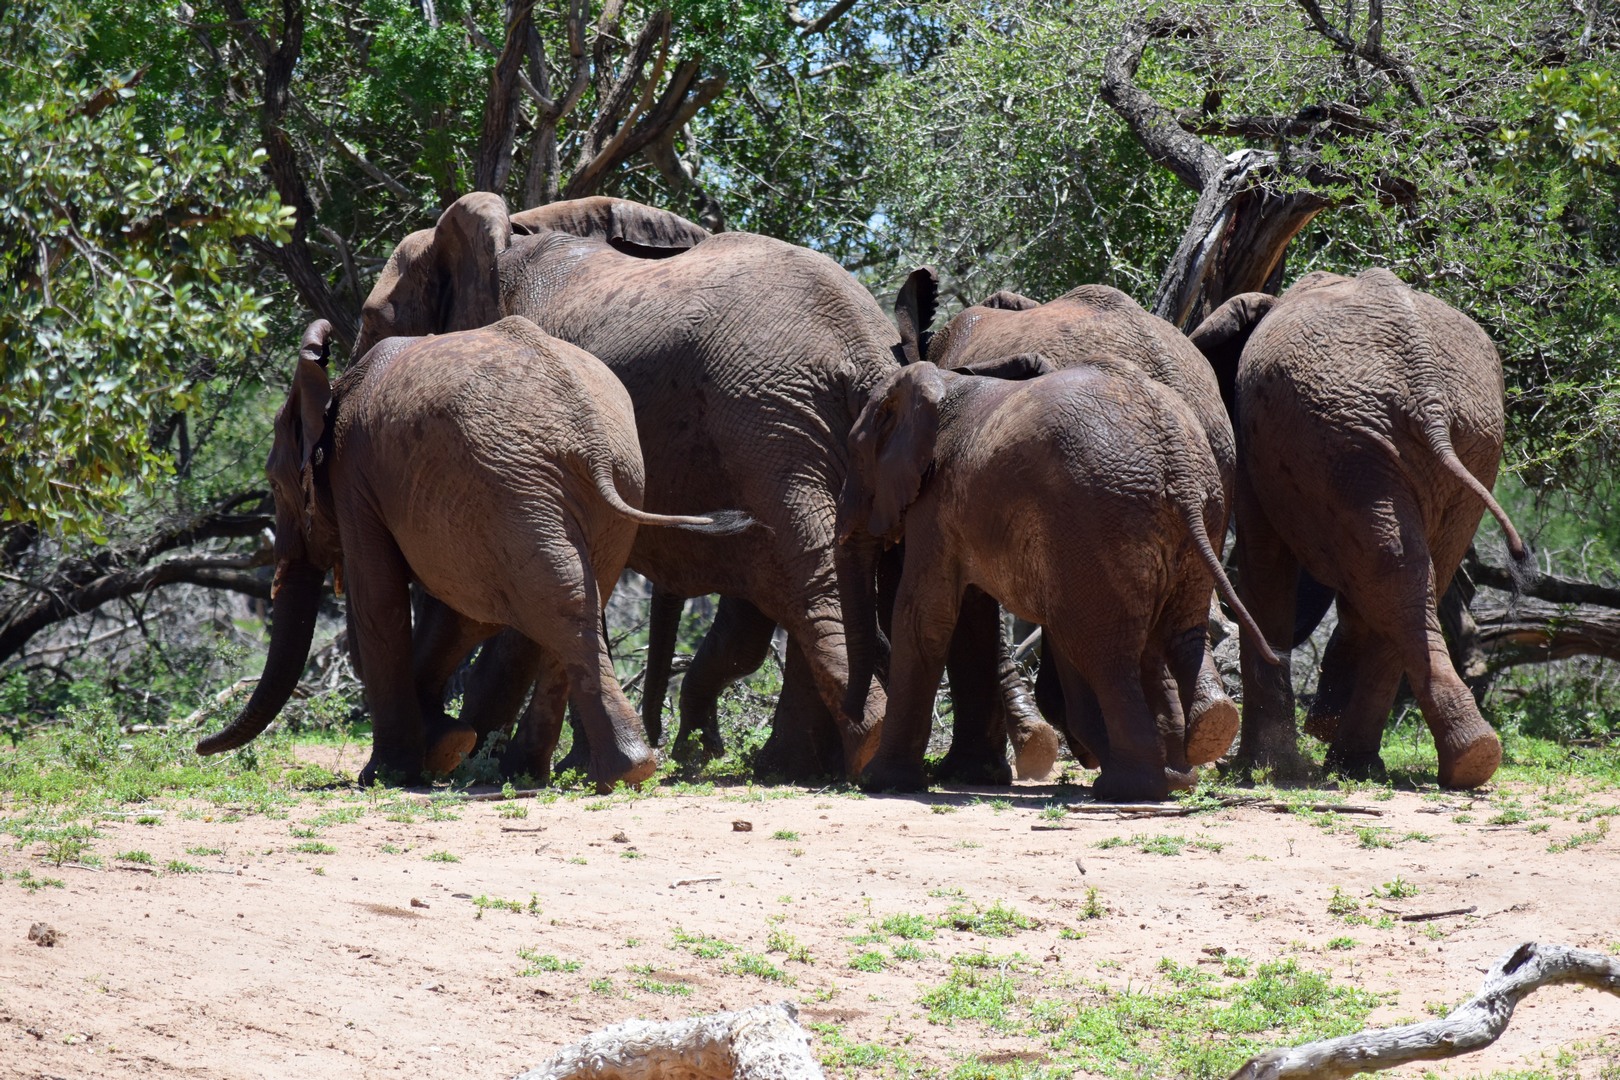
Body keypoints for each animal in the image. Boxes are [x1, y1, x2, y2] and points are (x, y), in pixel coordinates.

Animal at [196, 317, 745, 790]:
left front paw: (388, 774)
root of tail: (586, 432)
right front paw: (446, 745)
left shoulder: (356, 477)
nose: (200, 747)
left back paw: (602, 771)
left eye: (273, 483)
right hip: (585, 486)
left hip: (511, 485)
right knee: (575, 602)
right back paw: (555, 772)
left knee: (557, 605)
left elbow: (379, 603)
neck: (334, 387)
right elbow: (465, 614)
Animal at [351, 187, 900, 777]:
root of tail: (863, 347)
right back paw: (808, 762)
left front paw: (498, 763)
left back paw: (839, 749)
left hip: (768, 424)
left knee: (808, 573)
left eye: (375, 322)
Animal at [835, 356, 1276, 803]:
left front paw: (880, 781)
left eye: (855, 453)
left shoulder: (936, 501)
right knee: (1172, 633)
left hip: (1100, 520)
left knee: (1106, 654)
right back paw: (1194, 752)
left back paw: (1128, 787)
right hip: (1196, 514)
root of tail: (1179, 468)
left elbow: (924, 618)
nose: (850, 713)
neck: (942, 381)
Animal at [1192, 268, 1529, 793]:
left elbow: (1265, 562)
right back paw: (1456, 760)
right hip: (1449, 443)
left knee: (1392, 572)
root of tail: (1428, 393)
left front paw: (1263, 767)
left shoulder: (1256, 440)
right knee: (1410, 573)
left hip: (1349, 441)